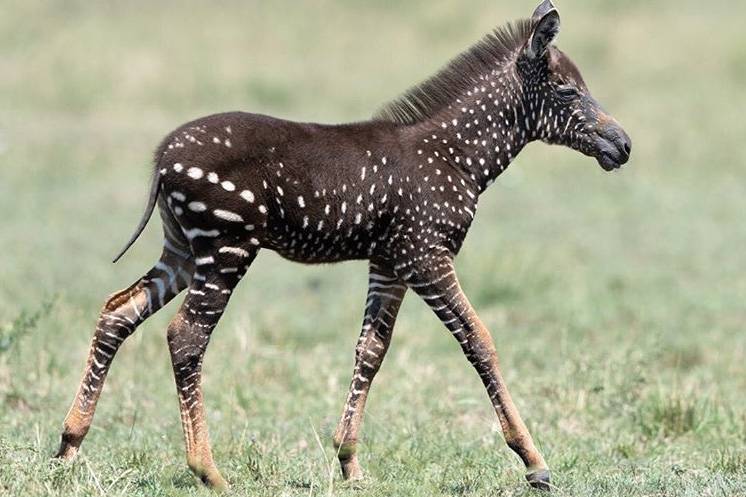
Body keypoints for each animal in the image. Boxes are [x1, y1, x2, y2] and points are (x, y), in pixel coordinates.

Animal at [55, 0, 631, 491]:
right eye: (568, 92)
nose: (623, 146)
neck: (455, 157)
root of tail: (162, 157)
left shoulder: (391, 261)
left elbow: (371, 350)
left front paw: (349, 461)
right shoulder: (426, 255)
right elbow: (479, 340)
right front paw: (533, 461)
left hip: (182, 251)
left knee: (117, 312)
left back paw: (68, 446)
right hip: (225, 249)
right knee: (186, 336)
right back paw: (208, 471)